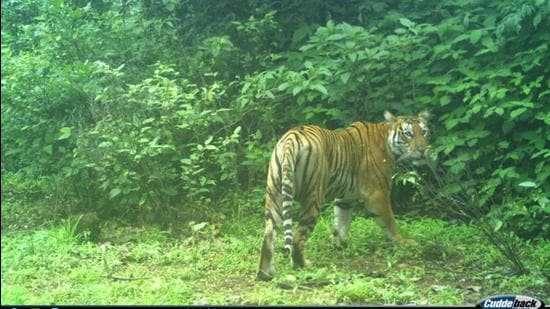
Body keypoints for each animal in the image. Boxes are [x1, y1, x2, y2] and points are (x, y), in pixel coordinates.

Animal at [256, 110, 434, 280]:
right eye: (408, 134)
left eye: (424, 132)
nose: (423, 150)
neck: (387, 141)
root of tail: (291, 138)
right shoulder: (378, 193)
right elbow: (389, 221)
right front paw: (403, 242)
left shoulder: (345, 196)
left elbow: (341, 221)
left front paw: (340, 244)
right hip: (313, 197)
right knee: (298, 237)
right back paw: (303, 265)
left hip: (275, 194)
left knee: (269, 233)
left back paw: (265, 274)